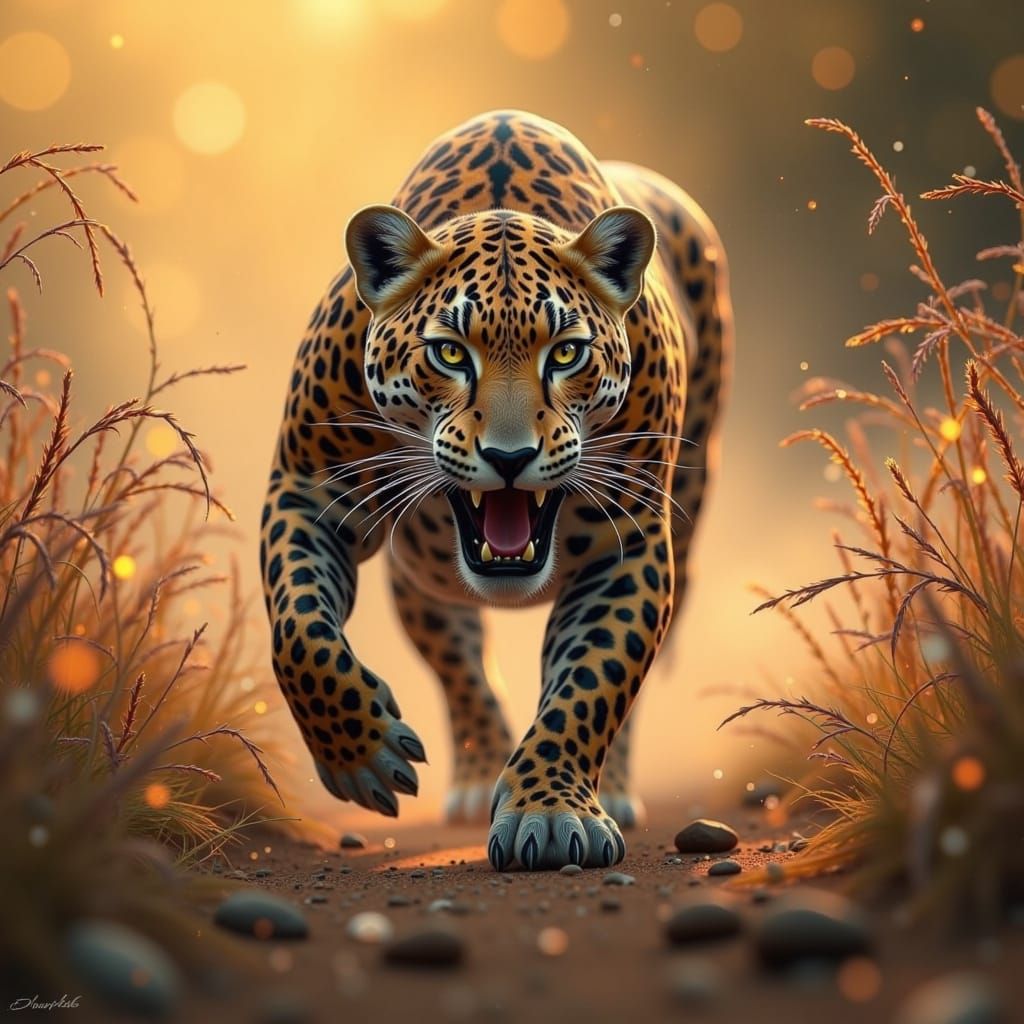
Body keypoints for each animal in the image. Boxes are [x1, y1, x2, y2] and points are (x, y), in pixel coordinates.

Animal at [260, 110, 731, 871]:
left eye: (566, 353)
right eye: (449, 353)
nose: (510, 458)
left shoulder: (628, 543)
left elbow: (593, 680)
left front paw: (549, 809)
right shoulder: (308, 490)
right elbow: (299, 630)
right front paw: (361, 755)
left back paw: (608, 786)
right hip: (420, 573)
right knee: (457, 655)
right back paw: (479, 773)